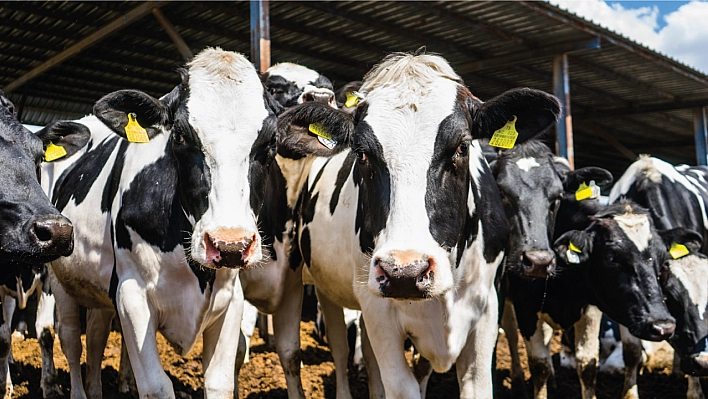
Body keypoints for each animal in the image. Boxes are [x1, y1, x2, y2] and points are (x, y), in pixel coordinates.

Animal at [40, 47, 348, 399]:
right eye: (180, 135)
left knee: (95, 334)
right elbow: (156, 386)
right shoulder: (131, 294)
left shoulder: (235, 298)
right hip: (58, 277)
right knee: (69, 337)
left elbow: (223, 378)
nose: (230, 244)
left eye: (270, 141)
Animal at [274, 51, 560, 398]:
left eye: (462, 146)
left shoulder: (489, 307)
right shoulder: (378, 310)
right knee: (342, 351)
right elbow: (399, 384)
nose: (405, 272)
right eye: (362, 153)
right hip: (330, 289)